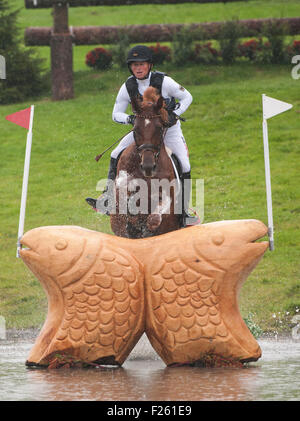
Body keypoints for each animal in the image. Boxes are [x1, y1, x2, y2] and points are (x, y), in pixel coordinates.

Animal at [109, 86, 180, 236]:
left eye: (159, 128)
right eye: (135, 130)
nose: (148, 167)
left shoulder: (167, 197)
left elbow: (154, 217)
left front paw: (146, 227)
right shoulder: (121, 186)